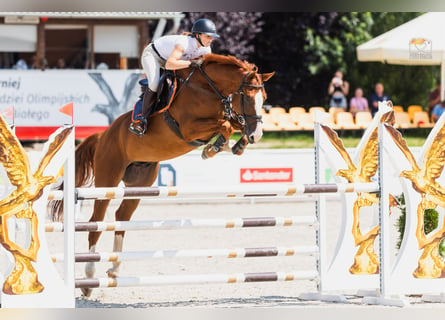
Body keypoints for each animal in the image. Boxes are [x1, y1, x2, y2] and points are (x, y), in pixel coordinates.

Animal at [52, 53, 274, 296]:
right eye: (247, 97)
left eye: (264, 97)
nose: (257, 135)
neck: (208, 89)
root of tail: (102, 136)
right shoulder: (188, 127)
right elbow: (225, 125)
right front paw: (213, 148)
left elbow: (232, 123)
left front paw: (236, 145)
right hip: (107, 179)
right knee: (96, 223)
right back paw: (89, 279)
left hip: (140, 182)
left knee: (121, 217)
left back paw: (114, 268)